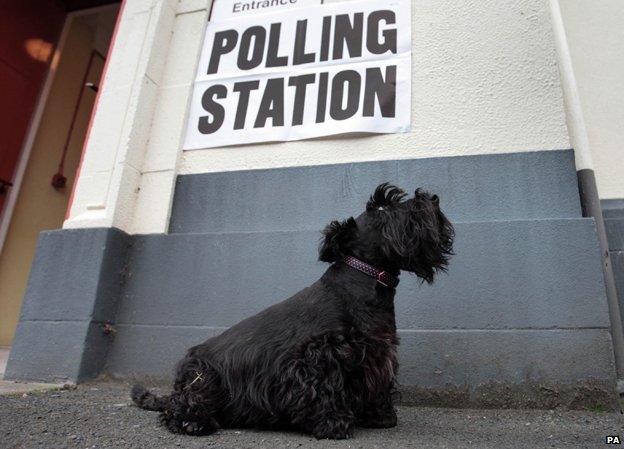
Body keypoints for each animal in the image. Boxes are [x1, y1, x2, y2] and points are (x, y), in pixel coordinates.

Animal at [133, 182, 454, 438]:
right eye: (384, 208)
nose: (433, 198)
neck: (364, 280)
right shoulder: (320, 355)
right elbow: (327, 388)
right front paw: (333, 423)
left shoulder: (378, 352)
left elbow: (379, 386)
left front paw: (381, 417)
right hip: (204, 378)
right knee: (179, 407)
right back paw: (193, 423)